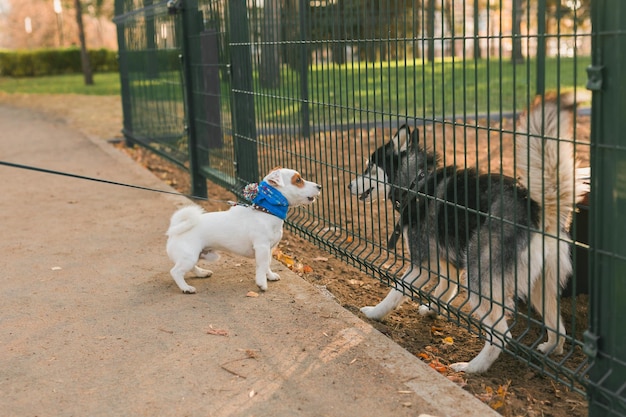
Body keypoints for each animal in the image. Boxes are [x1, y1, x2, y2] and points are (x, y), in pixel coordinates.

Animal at [166, 168, 320, 292]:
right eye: (298, 180)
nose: (319, 186)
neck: (267, 211)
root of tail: (175, 230)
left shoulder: (269, 249)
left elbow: (268, 264)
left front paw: (269, 276)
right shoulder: (262, 247)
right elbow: (262, 266)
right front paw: (262, 283)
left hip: (194, 256)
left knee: (190, 268)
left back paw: (202, 273)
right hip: (189, 256)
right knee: (175, 272)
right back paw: (186, 288)